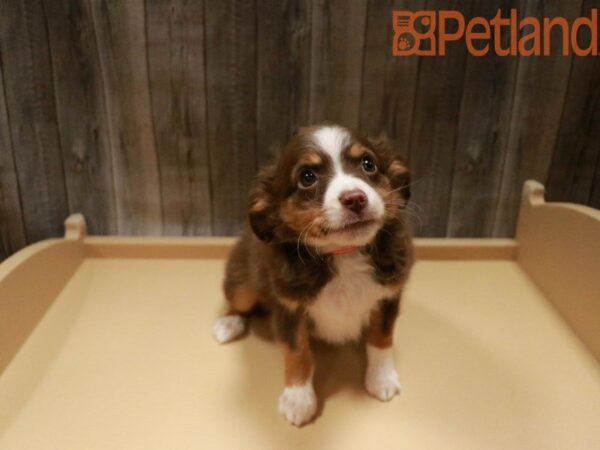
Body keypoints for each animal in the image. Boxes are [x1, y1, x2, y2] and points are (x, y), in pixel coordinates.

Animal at [213, 125, 414, 428]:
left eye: (368, 164)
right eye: (307, 177)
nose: (355, 198)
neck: (343, 254)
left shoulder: (388, 293)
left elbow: (381, 338)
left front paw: (382, 379)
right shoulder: (288, 306)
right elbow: (298, 353)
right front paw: (298, 399)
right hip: (243, 284)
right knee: (238, 301)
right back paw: (228, 323)